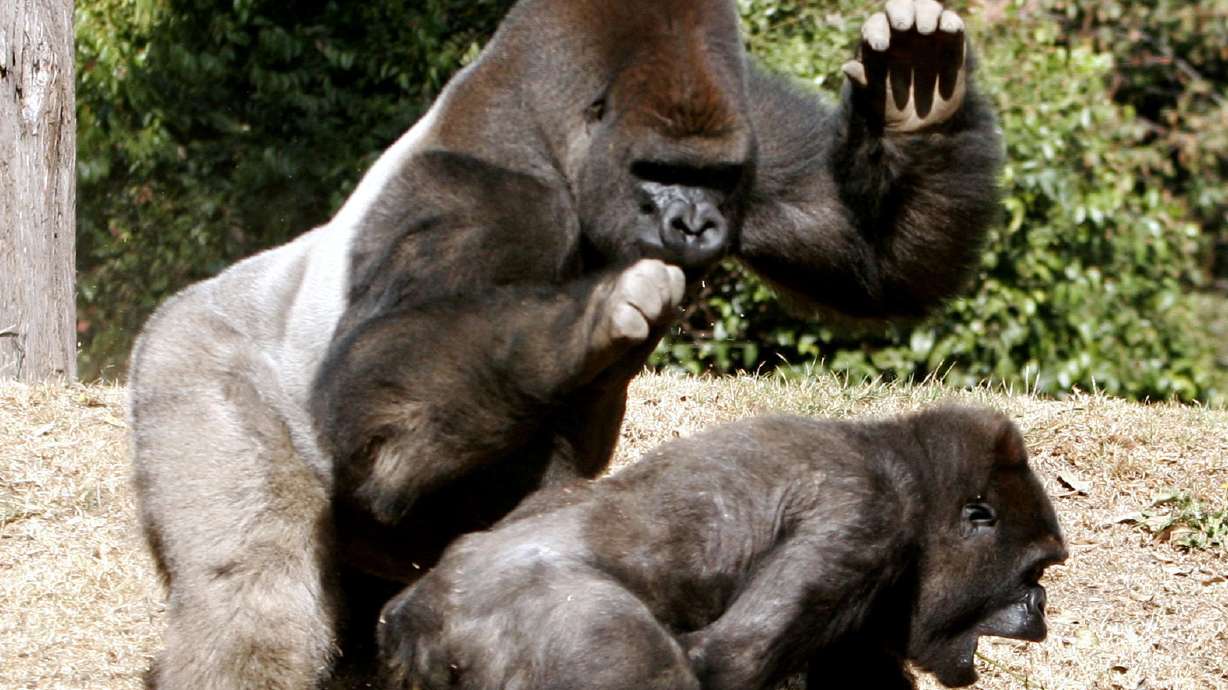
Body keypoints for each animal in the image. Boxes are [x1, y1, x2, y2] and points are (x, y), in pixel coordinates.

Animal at [127, 0, 1003, 687]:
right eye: (657, 171)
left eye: (713, 180)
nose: (694, 224)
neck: (552, 139)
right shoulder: (478, 206)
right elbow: (381, 434)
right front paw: (579, 323)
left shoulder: (746, 124)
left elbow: (866, 252)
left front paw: (912, 106)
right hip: (187, 358)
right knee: (251, 598)